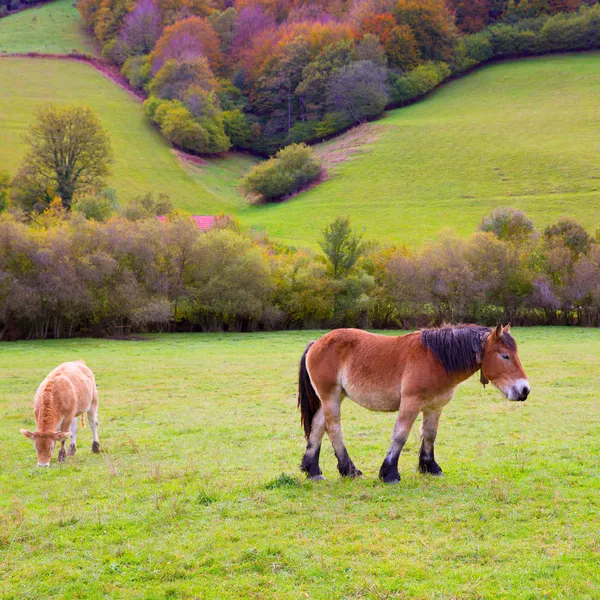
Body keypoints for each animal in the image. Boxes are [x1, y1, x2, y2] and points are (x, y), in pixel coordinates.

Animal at [298, 324, 528, 482]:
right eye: (505, 356)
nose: (524, 390)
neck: (436, 359)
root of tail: (315, 344)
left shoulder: (435, 407)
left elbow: (430, 435)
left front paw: (430, 467)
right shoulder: (411, 403)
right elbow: (400, 435)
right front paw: (389, 473)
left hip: (332, 397)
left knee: (318, 426)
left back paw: (313, 471)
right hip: (331, 396)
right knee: (333, 428)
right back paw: (349, 470)